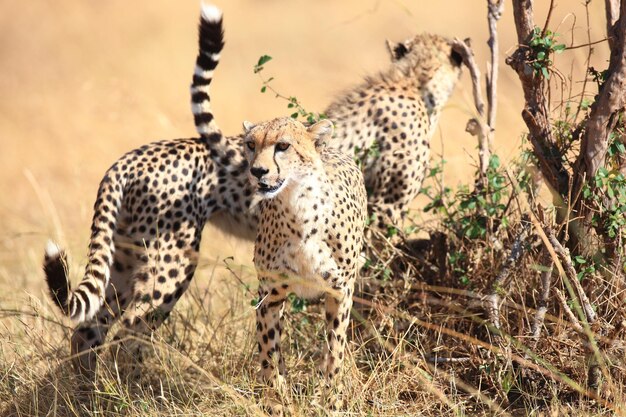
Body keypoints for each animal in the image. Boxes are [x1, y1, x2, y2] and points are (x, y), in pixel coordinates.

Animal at [240, 116, 366, 406]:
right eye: (251, 144)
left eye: (283, 145)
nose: (258, 171)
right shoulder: (270, 294)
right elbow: (269, 351)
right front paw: (277, 400)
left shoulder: (340, 291)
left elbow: (335, 349)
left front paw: (330, 399)